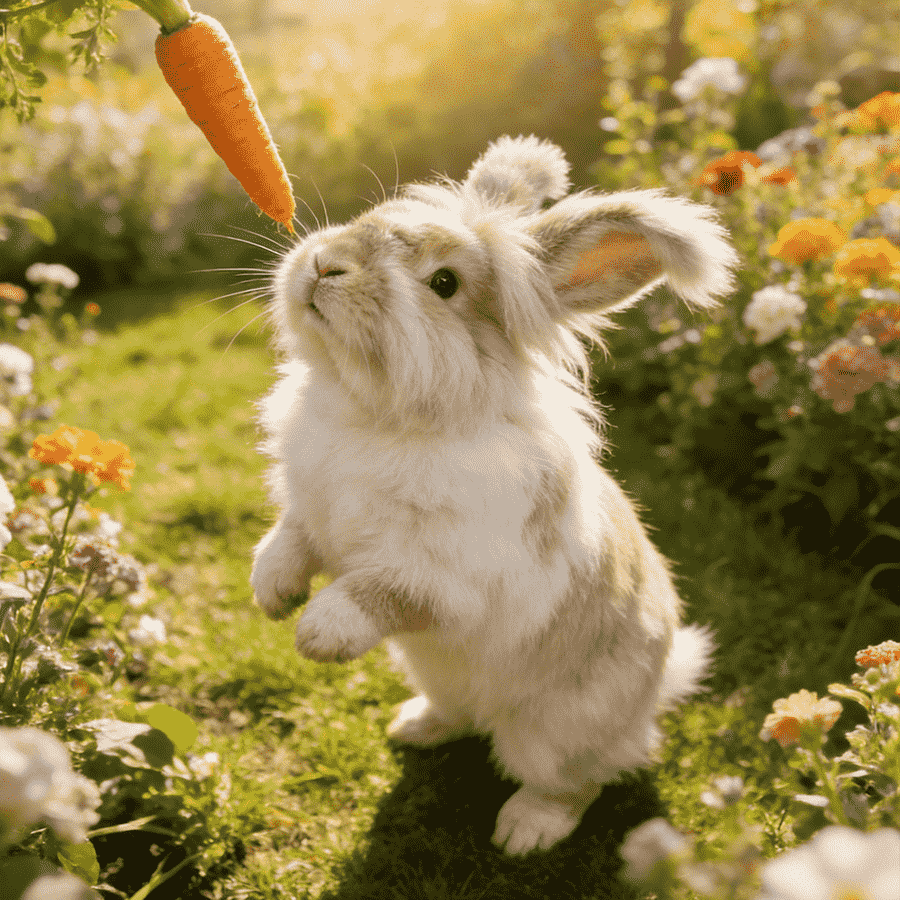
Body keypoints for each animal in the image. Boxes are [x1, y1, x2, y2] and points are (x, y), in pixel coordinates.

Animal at [250, 135, 738, 855]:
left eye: (444, 284)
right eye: (373, 217)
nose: (324, 263)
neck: (376, 416)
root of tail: (647, 706)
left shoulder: (451, 574)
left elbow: (377, 590)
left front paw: (318, 632)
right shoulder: (310, 512)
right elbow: (287, 540)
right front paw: (272, 595)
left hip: (553, 735)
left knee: (578, 782)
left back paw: (524, 833)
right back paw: (414, 727)